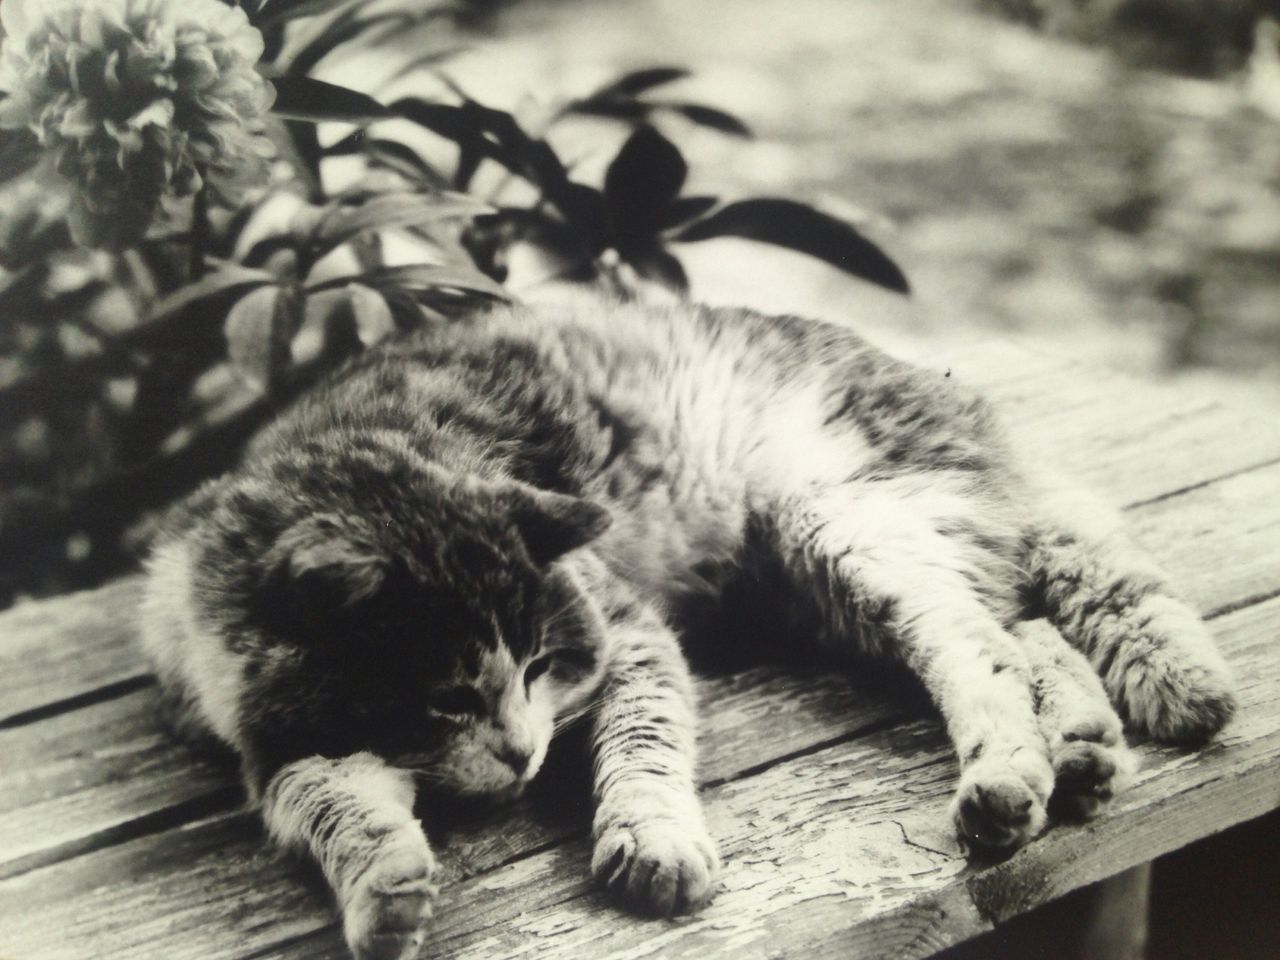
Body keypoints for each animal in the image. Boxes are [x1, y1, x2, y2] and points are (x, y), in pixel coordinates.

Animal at [137, 300, 1228, 960]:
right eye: (445, 697)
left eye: (539, 663)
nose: (525, 754)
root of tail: (947, 395)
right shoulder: (278, 746)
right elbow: (337, 809)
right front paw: (387, 893)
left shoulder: (628, 638)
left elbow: (644, 749)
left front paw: (651, 843)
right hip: (834, 584)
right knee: (1028, 627)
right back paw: (1079, 754)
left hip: (844, 530)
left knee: (985, 644)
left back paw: (1008, 784)